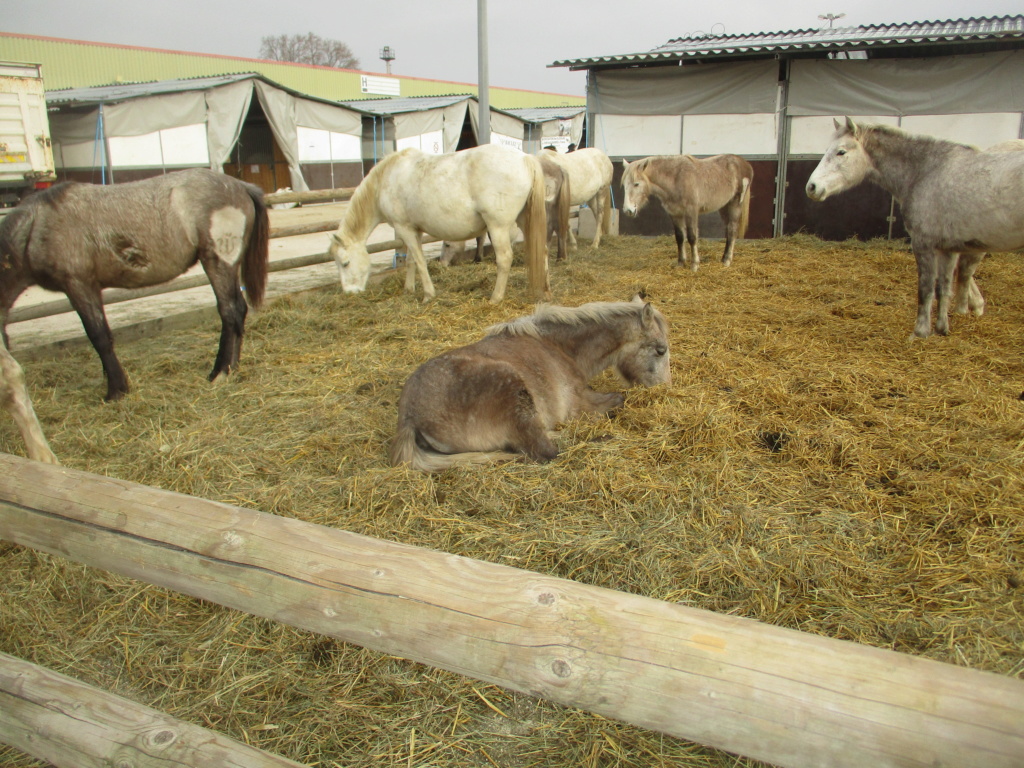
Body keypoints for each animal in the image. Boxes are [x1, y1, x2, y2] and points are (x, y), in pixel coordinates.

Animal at [329, 144, 552, 303]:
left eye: (345, 263)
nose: (350, 293)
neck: (387, 179)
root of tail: (525, 158)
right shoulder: (414, 230)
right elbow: (411, 261)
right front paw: (408, 289)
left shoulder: (404, 228)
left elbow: (420, 262)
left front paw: (428, 295)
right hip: (524, 219)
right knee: (542, 249)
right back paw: (545, 290)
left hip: (498, 227)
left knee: (505, 258)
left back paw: (495, 298)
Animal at [391, 296, 671, 473]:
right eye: (660, 350)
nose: (665, 391)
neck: (557, 347)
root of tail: (409, 417)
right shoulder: (582, 403)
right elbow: (618, 400)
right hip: (515, 394)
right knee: (546, 450)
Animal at [614, 153, 753, 270]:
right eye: (624, 185)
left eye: (636, 184)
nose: (628, 210)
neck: (676, 179)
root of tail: (745, 164)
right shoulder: (675, 214)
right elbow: (680, 237)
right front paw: (681, 263)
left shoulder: (691, 212)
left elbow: (692, 237)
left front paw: (694, 265)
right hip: (724, 207)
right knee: (728, 230)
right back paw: (723, 258)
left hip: (735, 204)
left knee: (732, 230)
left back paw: (727, 261)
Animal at [806, 118, 1024, 337]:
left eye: (841, 152)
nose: (812, 187)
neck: (925, 171)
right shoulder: (948, 249)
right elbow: (944, 288)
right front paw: (941, 329)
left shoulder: (923, 244)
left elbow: (926, 289)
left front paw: (920, 332)